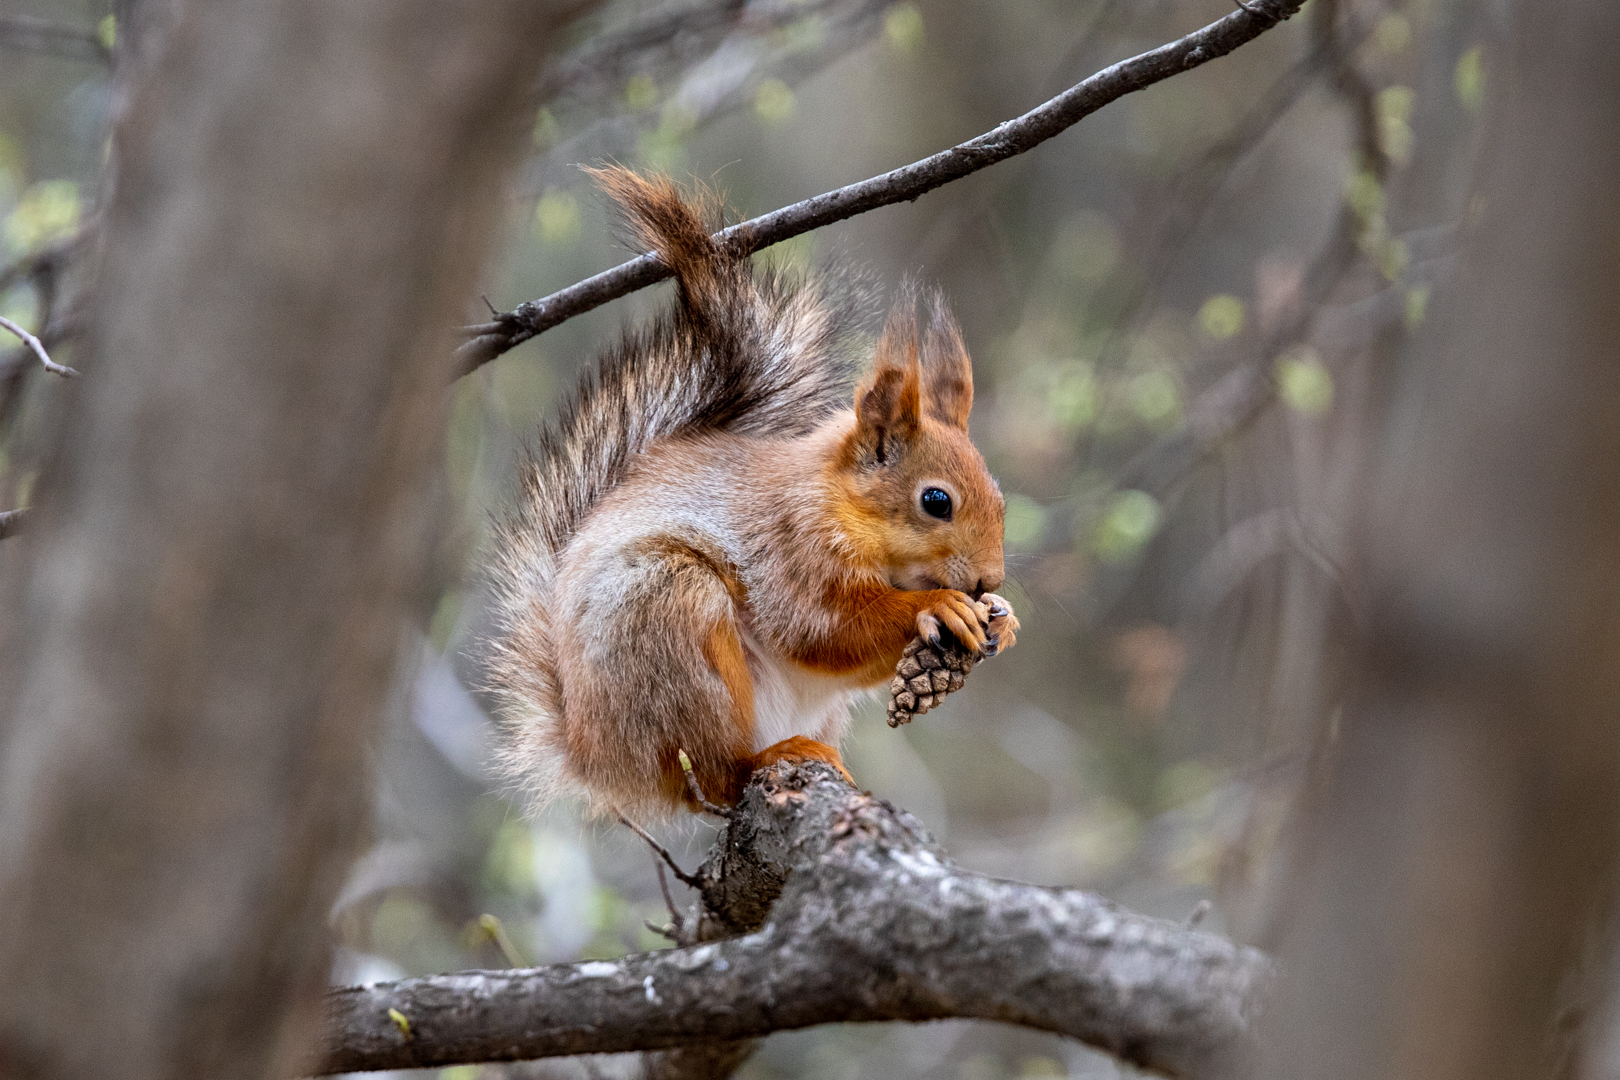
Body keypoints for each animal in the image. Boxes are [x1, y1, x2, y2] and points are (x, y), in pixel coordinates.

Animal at [482, 169, 1010, 822]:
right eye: (937, 502)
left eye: (1001, 499)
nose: (990, 579)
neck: (839, 504)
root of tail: (595, 756)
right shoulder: (787, 548)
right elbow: (825, 629)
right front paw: (937, 606)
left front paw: (1004, 618)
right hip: (669, 622)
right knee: (715, 775)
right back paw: (766, 758)